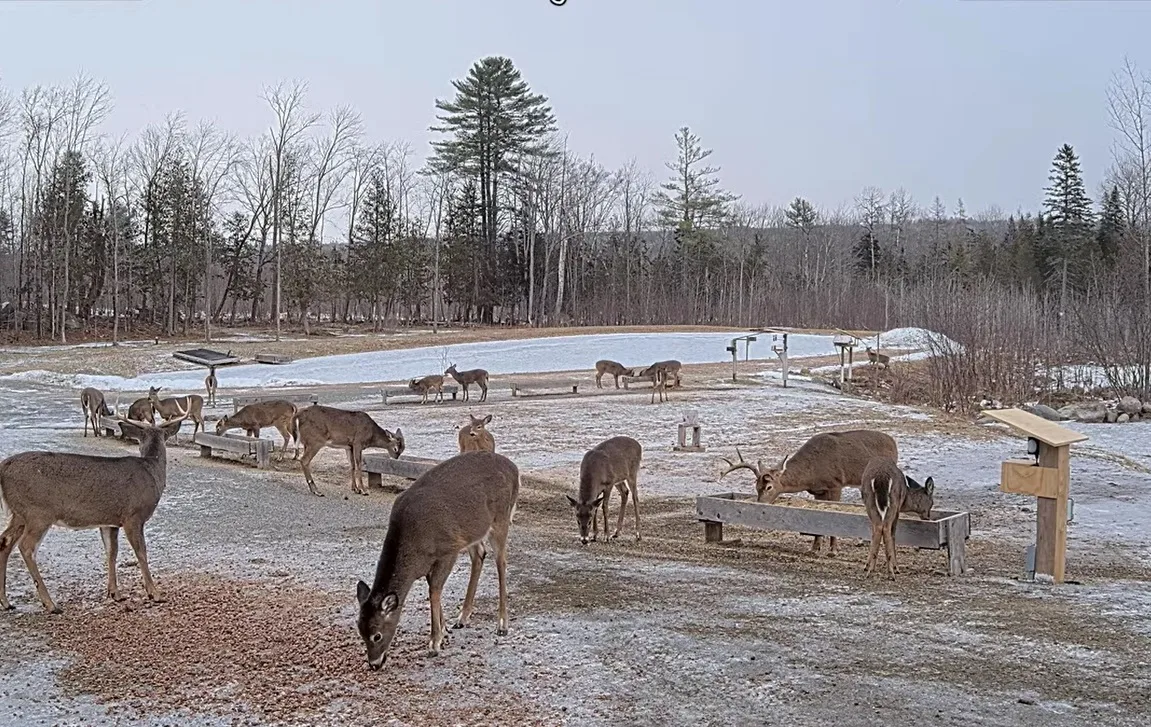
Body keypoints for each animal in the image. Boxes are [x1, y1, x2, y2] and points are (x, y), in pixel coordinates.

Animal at [0, 402, 188, 611]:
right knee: (26, 547)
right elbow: (141, 552)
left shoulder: (110, 521)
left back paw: (6, 602)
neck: (151, 471)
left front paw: (115, 593)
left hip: (19, 513)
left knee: (5, 542)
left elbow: (111, 552)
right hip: (37, 511)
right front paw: (154, 593)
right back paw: (50, 604)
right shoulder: (133, 515)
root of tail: (3, 467)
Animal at [352, 455, 520, 671]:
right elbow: (433, 588)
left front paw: (434, 642)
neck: (413, 547)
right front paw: (445, 628)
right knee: (480, 554)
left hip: (501, 518)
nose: (374, 664)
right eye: (360, 631)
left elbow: (434, 591)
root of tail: (514, 469)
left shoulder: (447, 550)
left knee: (501, 562)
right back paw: (462, 618)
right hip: (471, 531)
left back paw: (502, 624)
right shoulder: (430, 561)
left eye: (377, 635)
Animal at [718, 425, 897, 556]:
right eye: (756, 487)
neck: (812, 472)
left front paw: (833, 550)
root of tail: (893, 441)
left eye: (769, 487)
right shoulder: (818, 491)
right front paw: (814, 548)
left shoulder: (836, 484)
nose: (760, 505)